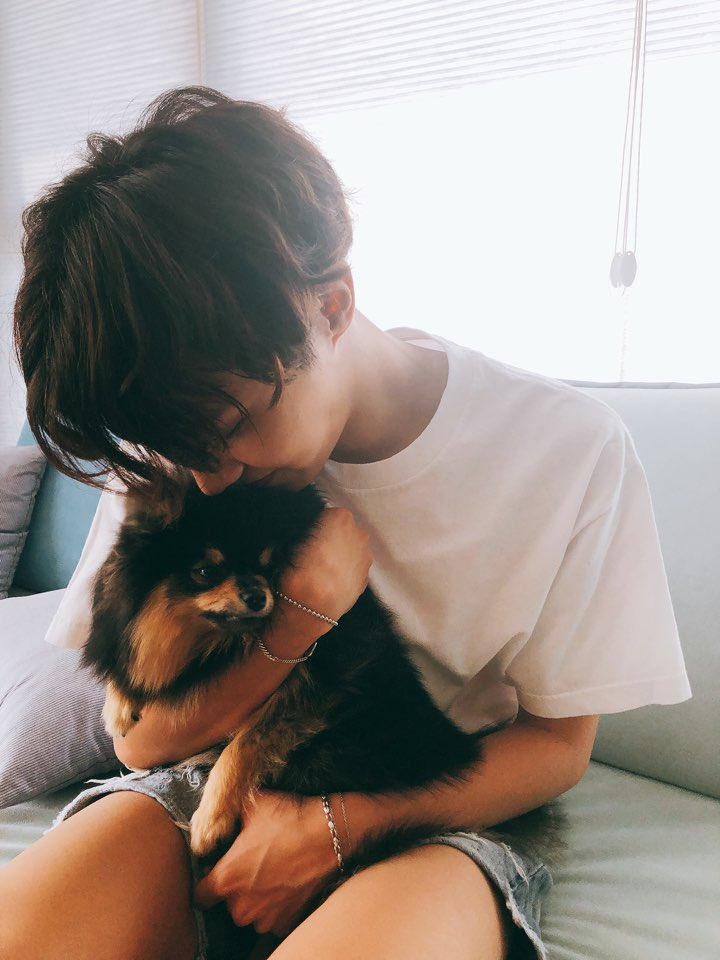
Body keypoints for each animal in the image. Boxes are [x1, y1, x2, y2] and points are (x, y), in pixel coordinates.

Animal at [83, 474, 562, 881]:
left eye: (270, 566)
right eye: (205, 571)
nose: (258, 596)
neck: (213, 646)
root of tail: (450, 747)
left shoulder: (325, 679)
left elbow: (245, 744)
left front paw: (211, 819)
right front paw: (120, 705)